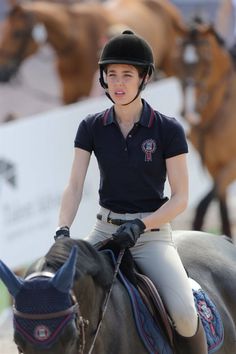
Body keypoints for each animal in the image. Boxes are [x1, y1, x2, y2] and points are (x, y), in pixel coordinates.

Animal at [0, 0, 185, 103]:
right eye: (4, 29)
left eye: (17, 33)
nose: (3, 73)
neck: (77, 44)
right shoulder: (68, 93)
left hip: (170, 65)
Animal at [171, 20, 236, 239]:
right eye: (177, 62)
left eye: (206, 63)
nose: (189, 112)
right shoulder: (212, 164)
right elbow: (221, 207)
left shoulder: (231, 165)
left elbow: (203, 204)